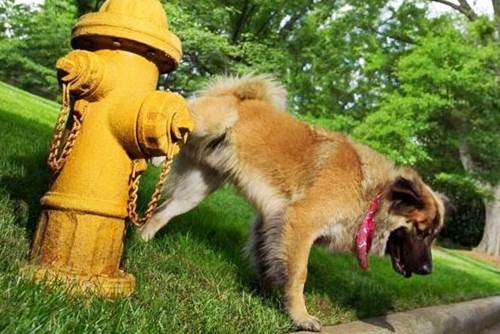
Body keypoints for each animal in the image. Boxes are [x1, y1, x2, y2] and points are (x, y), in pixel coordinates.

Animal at [139, 73, 448, 332]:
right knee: (169, 111)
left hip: (195, 190)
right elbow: (299, 274)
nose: (427, 271)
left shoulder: (271, 223)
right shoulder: (301, 222)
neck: (372, 196)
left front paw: (267, 295)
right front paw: (300, 316)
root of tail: (237, 95)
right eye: (421, 232)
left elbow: (269, 261)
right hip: (203, 125)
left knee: (160, 214)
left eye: (433, 236)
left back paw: (141, 240)